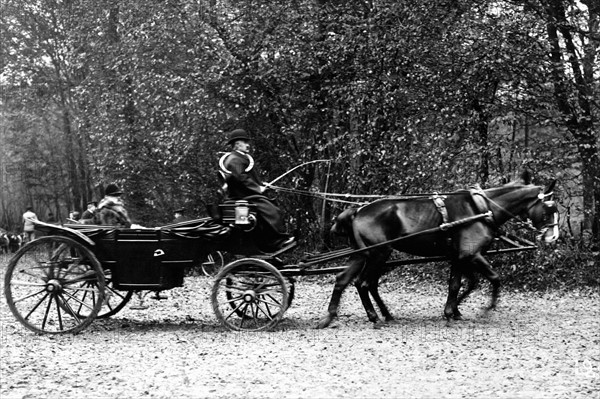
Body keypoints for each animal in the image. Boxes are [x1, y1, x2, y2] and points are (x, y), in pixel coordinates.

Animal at [318, 173, 556, 330]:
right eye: (549, 208)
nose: (552, 237)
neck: (480, 209)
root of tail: (357, 211)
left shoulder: (459, 257)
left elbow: (460, 284)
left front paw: (453, 311)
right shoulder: (470, 254)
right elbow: (493, 278)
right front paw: (485, 309)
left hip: (363, 254)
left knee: (344, 280)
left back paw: (332, 316)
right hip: (378, 254)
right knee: (364, 283)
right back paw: (374, 317)